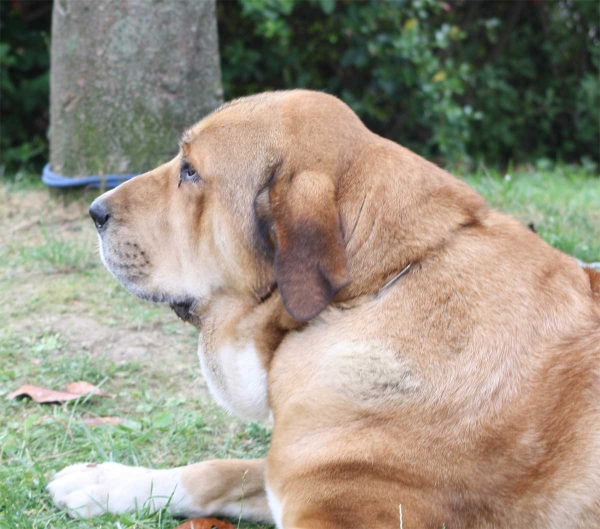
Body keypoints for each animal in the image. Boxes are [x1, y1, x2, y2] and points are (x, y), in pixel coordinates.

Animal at [48, 92, 600, 528]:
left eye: (190, 172)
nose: (95, 211)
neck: (368, 292)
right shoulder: (288, 466)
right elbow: (218, 470)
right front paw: (105, 483)